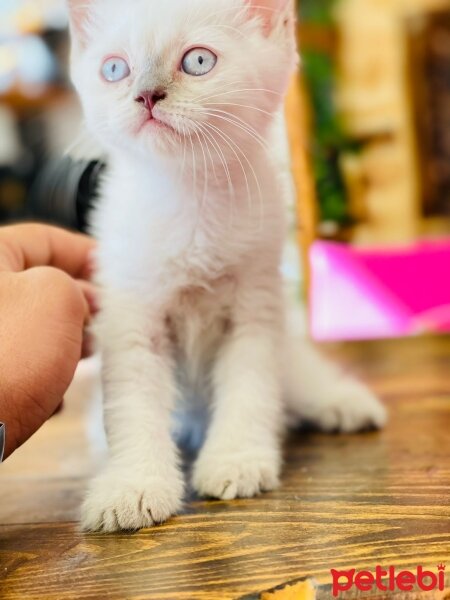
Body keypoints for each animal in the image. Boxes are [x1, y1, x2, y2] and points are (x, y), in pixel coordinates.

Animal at [67, 0, 386, 532]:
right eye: (114, 69)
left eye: (198, 61)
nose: (145, 95)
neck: (191, 197)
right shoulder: (130, 317)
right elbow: (133, 405)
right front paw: (133, 486)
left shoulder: (256, 305)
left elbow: (249, 387)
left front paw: (237, 461)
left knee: (301, 380)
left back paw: (344, 404)